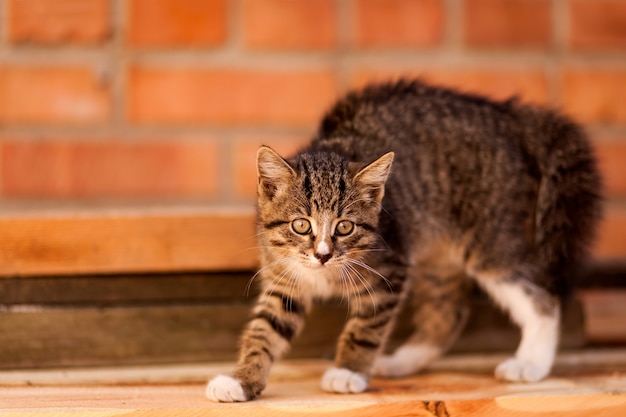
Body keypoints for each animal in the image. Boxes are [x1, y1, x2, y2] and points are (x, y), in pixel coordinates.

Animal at [206, 78, 600, 400]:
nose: (322, 255)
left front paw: (348, 371)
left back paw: (531, 363)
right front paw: (241, 379)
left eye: (345, 227)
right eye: (301, 226)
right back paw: (400, 362)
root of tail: (510, 116)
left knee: (542, 298)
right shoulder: (284, 278)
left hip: (490, 240)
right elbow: (264, 329)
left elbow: (365, 326)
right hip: (436, 253)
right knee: (448, 312)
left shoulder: (390, 269)